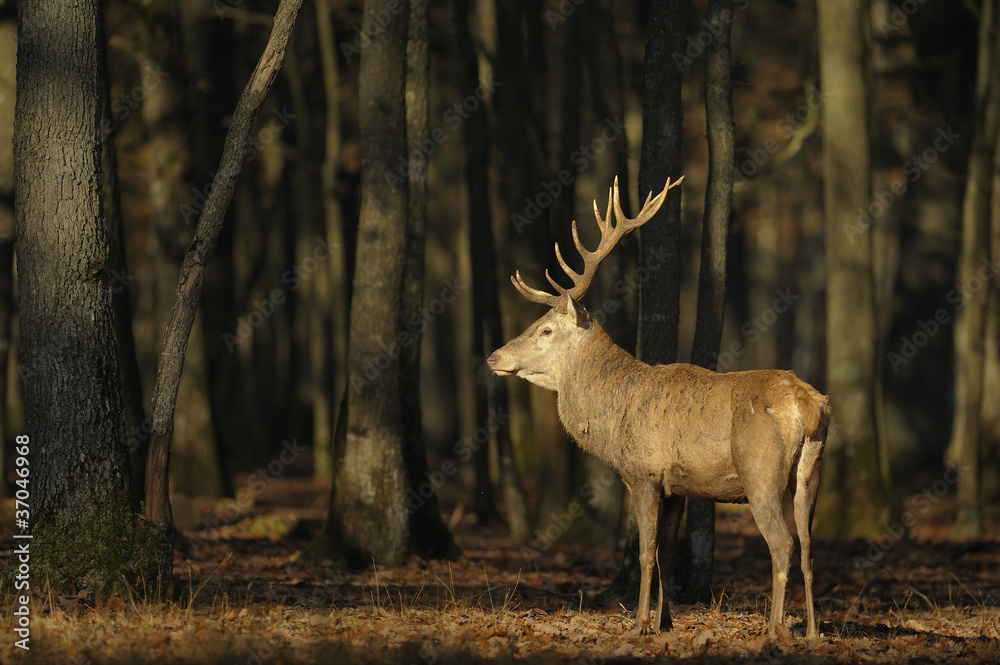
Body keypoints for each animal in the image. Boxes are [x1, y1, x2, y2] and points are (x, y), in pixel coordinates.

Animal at [487, 176, 829, 639]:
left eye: (544, 329)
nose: (493, 357)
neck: (613, 418)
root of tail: (809, 406)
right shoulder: (677, 486)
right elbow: (666, 553)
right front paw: (664, 623)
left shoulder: (643, 471)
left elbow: (645, 551)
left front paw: (638, 625)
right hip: (810, 472)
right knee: (810, 546)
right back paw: (811, 630)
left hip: (761, 472)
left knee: (783, 544)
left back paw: (775, 629)